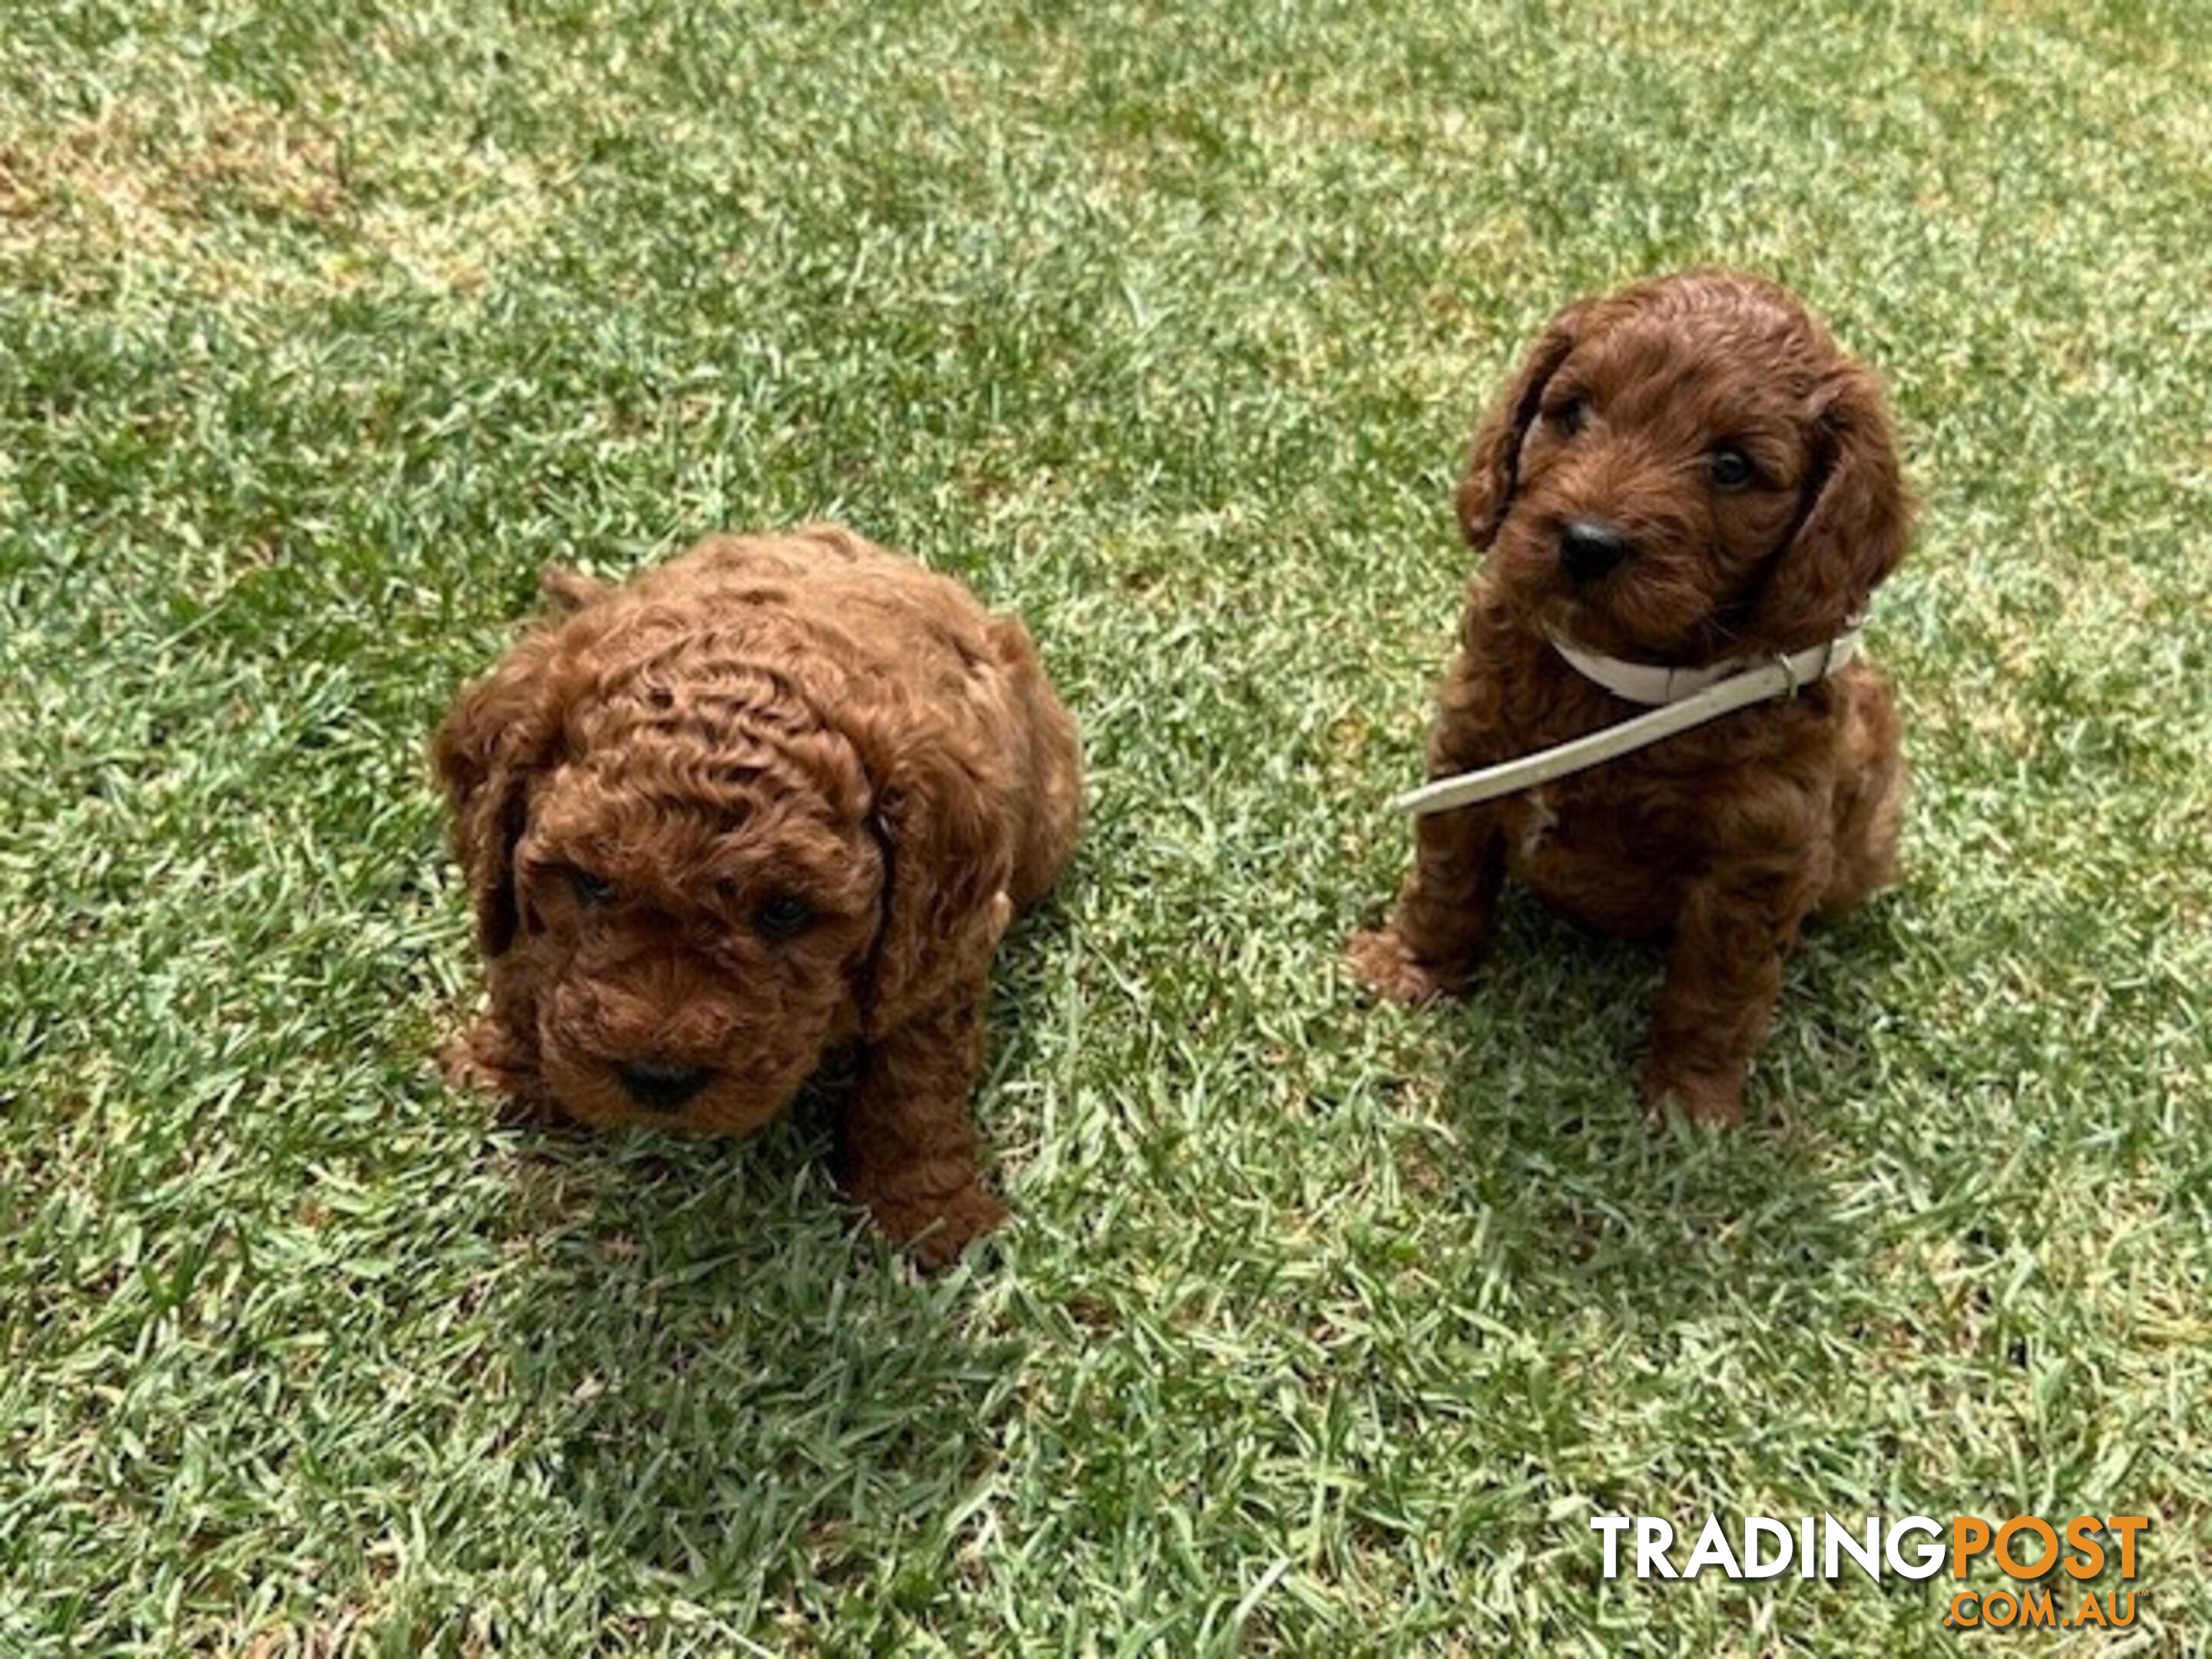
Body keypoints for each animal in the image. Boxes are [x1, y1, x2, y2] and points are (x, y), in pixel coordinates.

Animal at [431, 526, 1079, 1265]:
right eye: (592, 882)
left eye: (786, 911)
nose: (659, 1079)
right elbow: (519, 965)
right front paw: (507, 1072)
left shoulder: (948, 943)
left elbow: (915, 1078)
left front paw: (928, 1212)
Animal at [1353, 273, 1911, 1132]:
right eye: (1573, 412)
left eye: (1732, 466)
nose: (1587, 543)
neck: (1615, 685)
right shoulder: (1469, 754)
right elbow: (1445, 879)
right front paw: (1409, 967)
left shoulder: (1759, 857)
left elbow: (1719, 987)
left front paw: (1690, 1102)